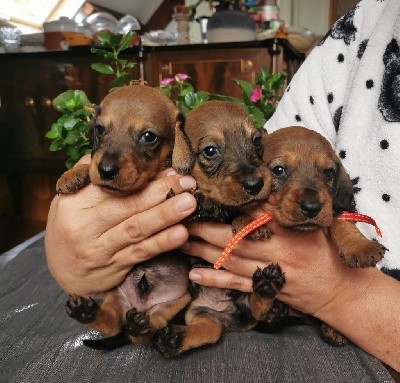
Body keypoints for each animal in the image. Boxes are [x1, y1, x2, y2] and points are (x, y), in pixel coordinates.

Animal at [56, 84, 194, 348]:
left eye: (148, 136)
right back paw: (88, 312)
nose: (106, 170)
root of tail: (139, 305)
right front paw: (73, 174)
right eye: (99, 129)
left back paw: (140, 326)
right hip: (115, 295)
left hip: (178, 301)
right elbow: (88, 163)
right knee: (112, 323)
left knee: (146, 331)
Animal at [153, 100, 284, 358]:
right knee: (210, 329)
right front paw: (204, 203)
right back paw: (175, 338)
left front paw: (249, 224)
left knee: (256, 312)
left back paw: (266, 290)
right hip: (200, 311)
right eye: (211, 151)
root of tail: (235, 319)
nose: (256, 184)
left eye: (256, 140)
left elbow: (242, 210)